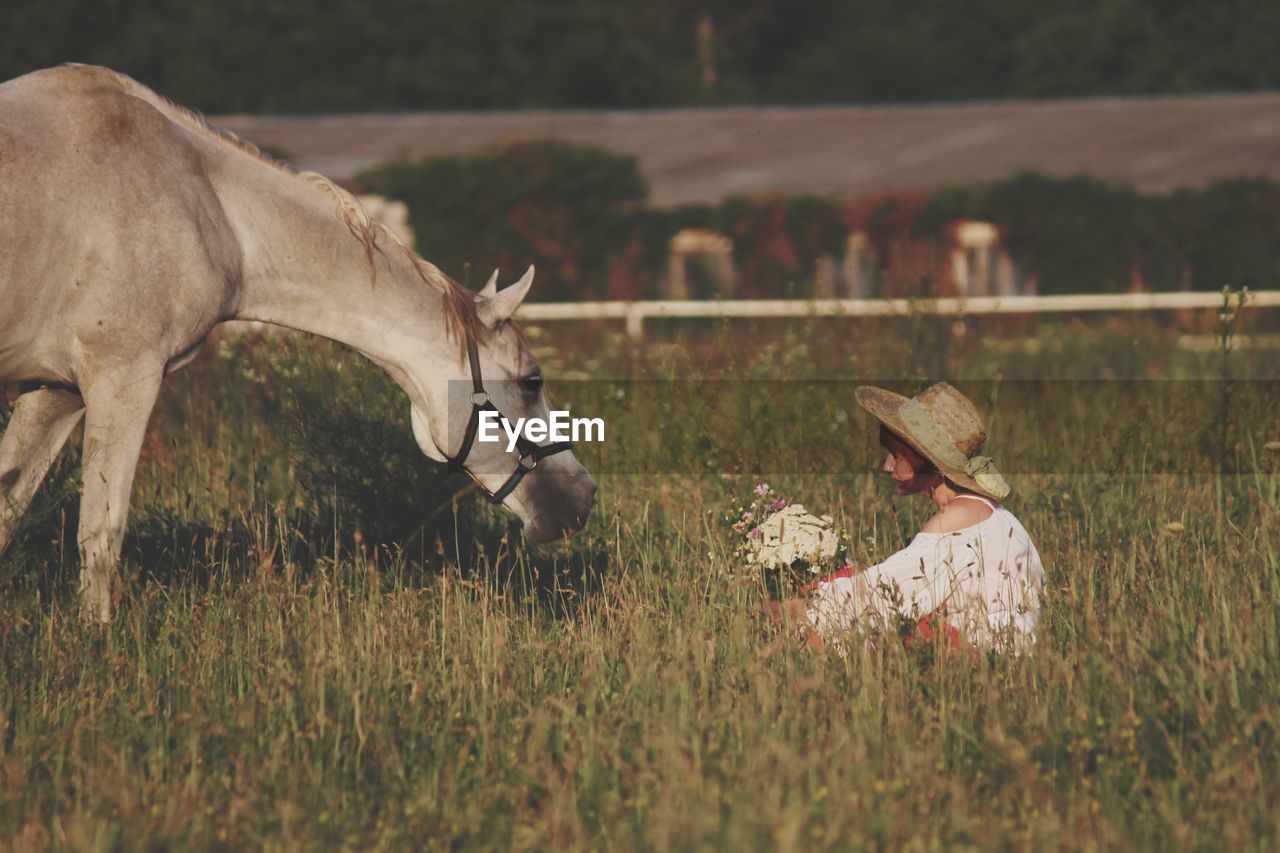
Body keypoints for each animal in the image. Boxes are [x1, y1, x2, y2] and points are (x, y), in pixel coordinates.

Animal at [0, 64, 596, 617]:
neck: (212, 206)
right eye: (531, 380)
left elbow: (9, 511)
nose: (584, 497)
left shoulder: (56, 392)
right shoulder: (124, 378)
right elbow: (101, 535)